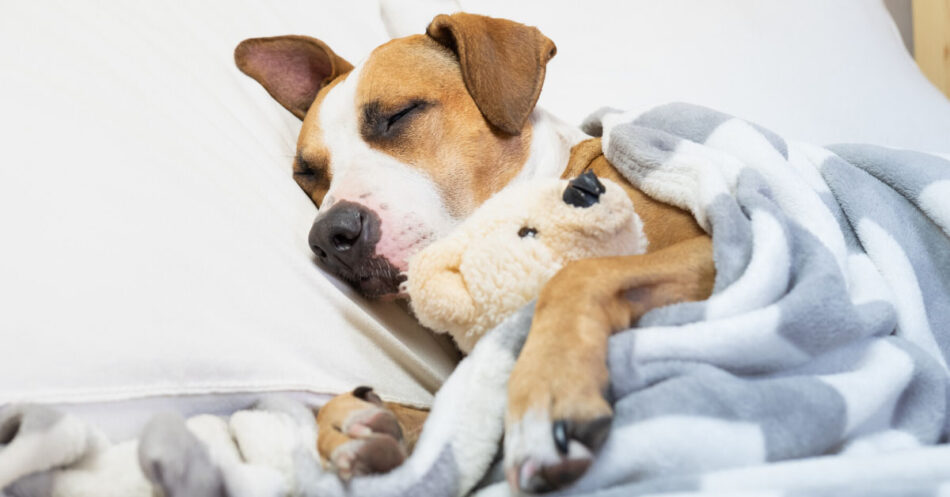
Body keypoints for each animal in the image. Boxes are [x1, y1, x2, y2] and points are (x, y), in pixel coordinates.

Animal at [236, 12, 712, 492]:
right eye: (307, 174)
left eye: (399, 115)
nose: (330, 235)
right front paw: (359, 425)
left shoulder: (709, 247)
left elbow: (577, 277)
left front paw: (546, 392)